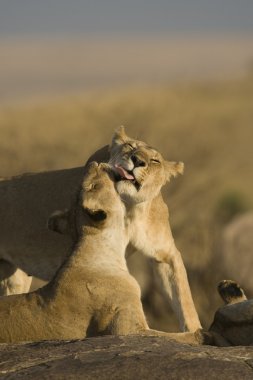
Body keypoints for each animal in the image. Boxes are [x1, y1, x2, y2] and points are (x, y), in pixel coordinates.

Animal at [0, 127, 202, 332]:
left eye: (155, 161)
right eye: (130, 146)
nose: (137, 160)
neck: (127, 209)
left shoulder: (165, 253)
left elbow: (184, 300)